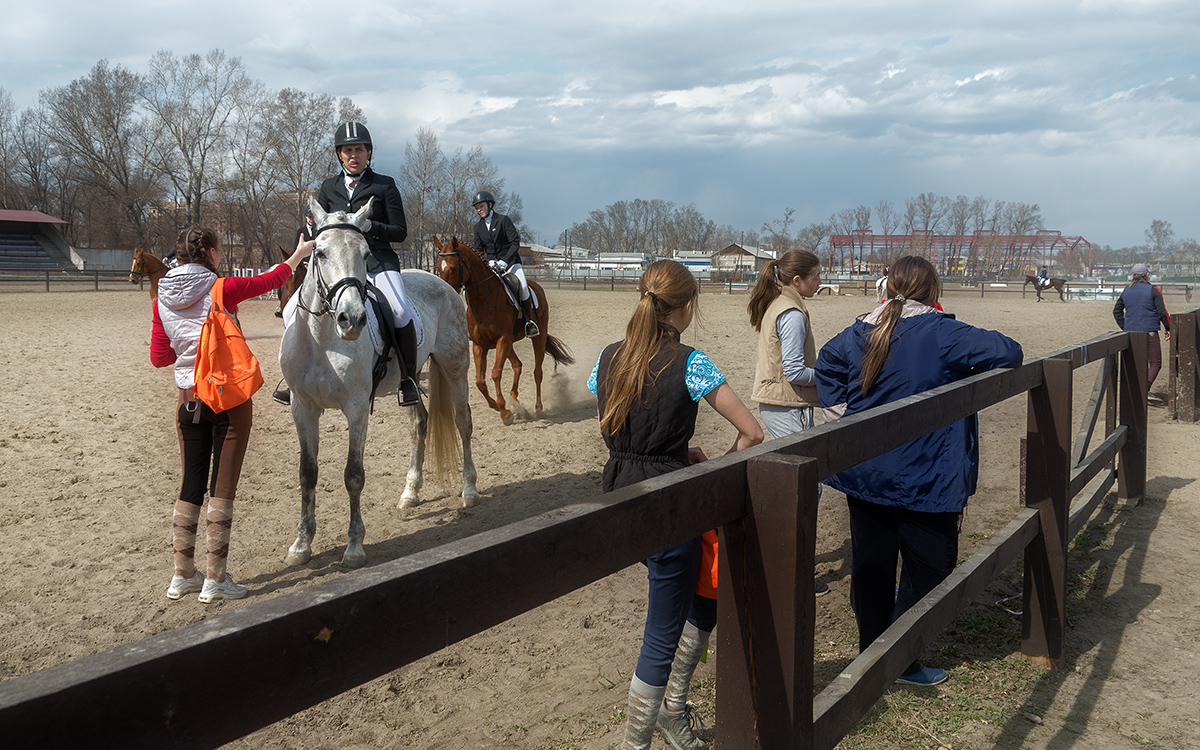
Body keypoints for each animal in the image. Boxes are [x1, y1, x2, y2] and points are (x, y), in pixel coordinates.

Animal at [278, 195, 475, 564]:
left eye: (366, 253)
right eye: (319, 253)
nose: (351, 319)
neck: (323, 339)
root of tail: (441, 282)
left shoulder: (356, 409)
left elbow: (353, 475)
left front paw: (355, 546)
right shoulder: (303, 408)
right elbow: (307, 473)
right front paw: (301, 544)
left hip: (455, 368)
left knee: (463, 422)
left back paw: (470, 489)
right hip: (410, 377)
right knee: (419, 422)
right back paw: (410, 492)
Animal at [434, 235, 573, 422]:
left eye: (454, 267)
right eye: (437, 268)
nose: (444, 292)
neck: (484, 300)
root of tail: (536, 286)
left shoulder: (503, 339)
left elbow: (495, 373)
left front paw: (504, 411)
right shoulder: (480, 345)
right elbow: (480, 381)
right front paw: (499, 407)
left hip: (537, 337)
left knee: (537, 372)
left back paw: (537, 407)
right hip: (509, 343)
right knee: (517, 365)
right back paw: (514, 400)